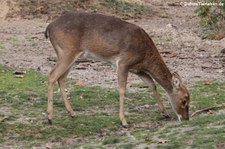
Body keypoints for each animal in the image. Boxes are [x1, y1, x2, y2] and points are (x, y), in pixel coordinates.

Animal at [45, 11, 190, 127]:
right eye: (184, 100)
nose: (186, 119)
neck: (145, 56)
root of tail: (49, 28)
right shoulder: (123, 63)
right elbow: (122, 89)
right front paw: (124, 121)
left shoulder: (138, 69)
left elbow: (152, 84)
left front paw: (165, 113)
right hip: (67, 51)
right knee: (52, 75)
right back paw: (50, 117)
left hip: (71, 55)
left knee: (61, 78)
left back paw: (72, 113)